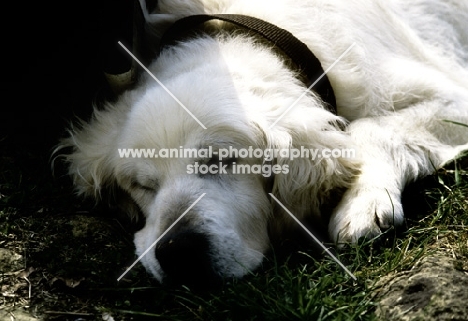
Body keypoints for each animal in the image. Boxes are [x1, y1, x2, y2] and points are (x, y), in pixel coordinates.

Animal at [59, 0, 468, 284]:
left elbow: (372, 129)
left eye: (222, 160)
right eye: (141, 185)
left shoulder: (452, 96)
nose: (178, 252)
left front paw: (362, 202)